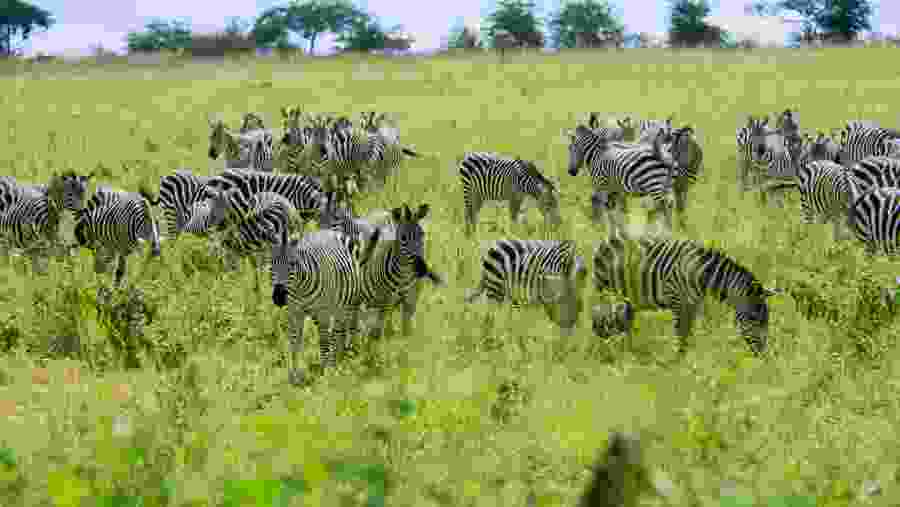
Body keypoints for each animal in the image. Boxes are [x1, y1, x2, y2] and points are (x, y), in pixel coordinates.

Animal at [270, 226, 381, 384]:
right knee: (340, 331)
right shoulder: (294, 312)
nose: (279, 297)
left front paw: (325, 373)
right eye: (272, 263)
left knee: (343, 329)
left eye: (292, 264)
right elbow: (294, 343)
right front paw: (294, 376)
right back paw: (339, 357)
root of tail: (330, 231)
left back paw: (343, 357)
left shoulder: (322, 313)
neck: (299, 289)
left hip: (346, 302)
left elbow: (323, 342)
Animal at [356, 204, 444, 339]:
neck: (403, 276)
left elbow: (406, 331)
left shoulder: (410, 301)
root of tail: (382, 211)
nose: (422, 268)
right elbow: (376, 331)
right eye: (403, 238)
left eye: (422, 234)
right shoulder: (384, 301)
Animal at [592, 235, 776, 355]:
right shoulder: (677, 302)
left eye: (766, 320)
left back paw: (626, 351)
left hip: (628, 298)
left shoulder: (693, 304)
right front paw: (679, 364)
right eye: (753, 318)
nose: (761, 354)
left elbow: (688, 334)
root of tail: (607, 239)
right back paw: (607, 349)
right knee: (602, 318)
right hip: (606, 291)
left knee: (623, 323)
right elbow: (681, 334)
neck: (702, 273)